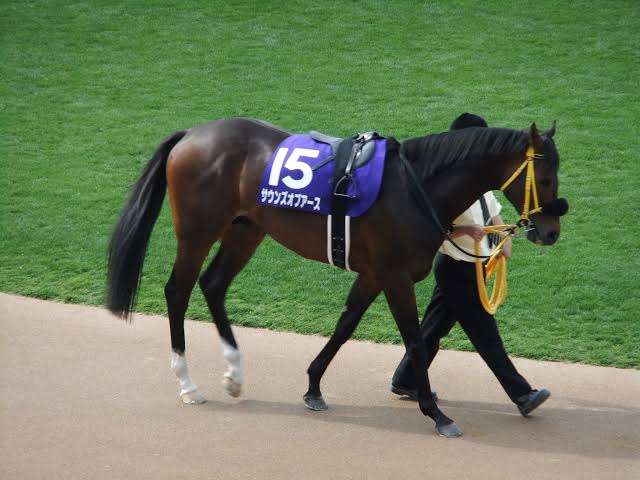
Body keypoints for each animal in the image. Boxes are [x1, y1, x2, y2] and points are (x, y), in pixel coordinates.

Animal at [106, 117, 566, 437]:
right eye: (545, 177)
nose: (550, 232)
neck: (414, 187)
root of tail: (190, 134)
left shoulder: (374, 274)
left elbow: (346, 325)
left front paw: (313, 387)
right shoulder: (395, 276)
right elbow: (415, 341)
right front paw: (436, 413)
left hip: (245, 229)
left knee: (213, 285)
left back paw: (234, 375)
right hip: (199, 231)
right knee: (178, 290)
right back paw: (187, 383)